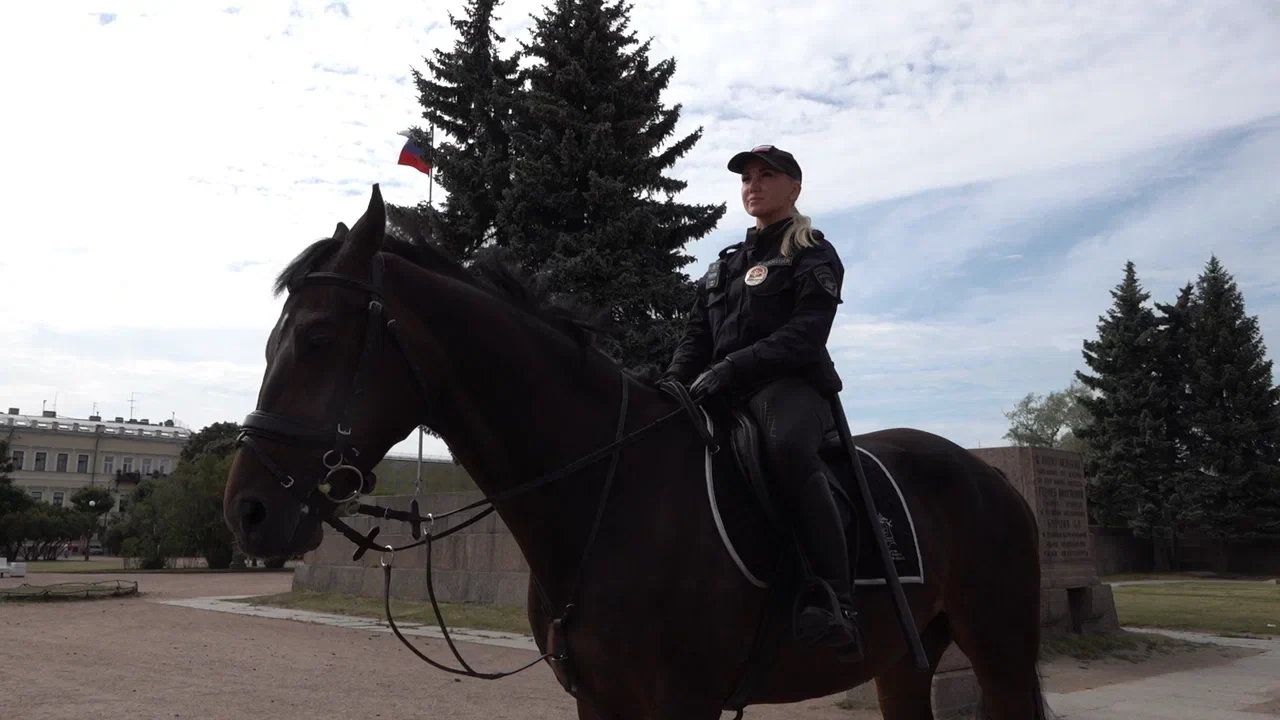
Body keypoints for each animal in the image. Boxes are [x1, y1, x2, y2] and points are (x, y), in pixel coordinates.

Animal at [225, 184, 1054, 717]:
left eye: (316, 337)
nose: (247, 511)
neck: (606, 489)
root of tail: (992, 477)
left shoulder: (682, 703)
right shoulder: (600, 700)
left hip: (1002, 651)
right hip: (902, 666)